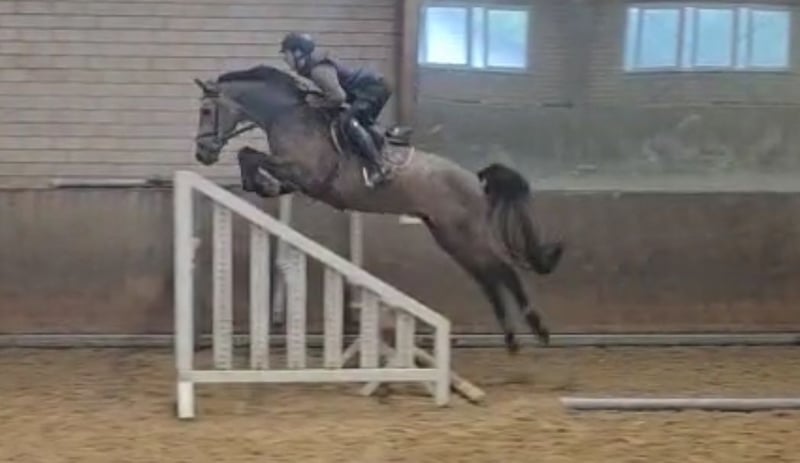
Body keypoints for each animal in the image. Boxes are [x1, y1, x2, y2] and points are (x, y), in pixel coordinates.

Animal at [192, 64, 564, 353]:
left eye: (207, 111)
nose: (203, 154)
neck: (287, 115)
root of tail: (476, 179)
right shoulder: (298, 179)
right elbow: (251, 159)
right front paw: (262, 186)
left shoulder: (305, 172)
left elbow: (250, 155)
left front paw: (260, 183)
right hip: (448, 235)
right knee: (488, 275)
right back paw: (512, 338)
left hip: (466, 232)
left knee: (504, 269)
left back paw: (538, 330)